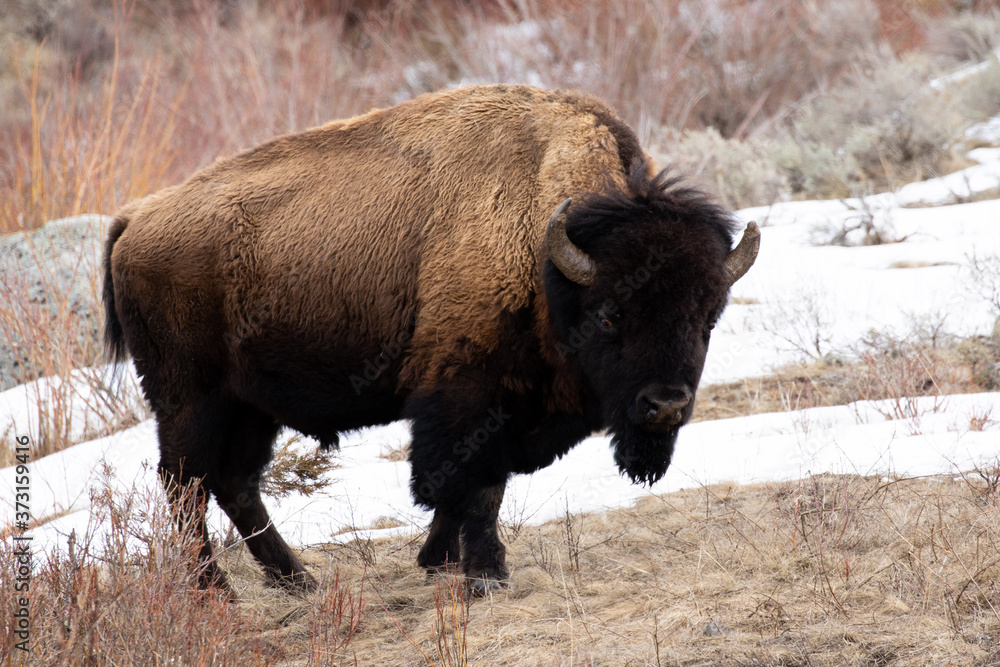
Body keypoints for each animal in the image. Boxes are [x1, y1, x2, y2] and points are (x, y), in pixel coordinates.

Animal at [101, 85, 756, 596]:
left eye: (708, 318)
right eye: (612, 315)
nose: (665, 406)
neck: (546, 244)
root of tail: (134, 221)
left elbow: (470, 489)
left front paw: (440, 562)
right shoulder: (469, 394)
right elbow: (476, 485)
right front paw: (485, 576)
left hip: (251, 405)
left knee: (235, 482)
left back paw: (299, 581)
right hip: (188, 400)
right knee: (185, 485)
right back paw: (217, 591)